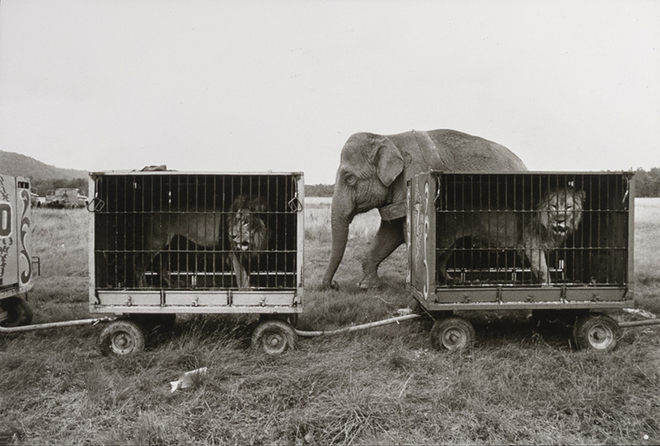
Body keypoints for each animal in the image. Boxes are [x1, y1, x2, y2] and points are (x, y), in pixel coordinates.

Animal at [134, 195, 269, 289]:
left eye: (246, 222)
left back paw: (173, 284)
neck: (255, 237)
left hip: (170, 245)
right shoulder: (234, 253)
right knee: (139, 265)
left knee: (160, 267)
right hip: (155, 243)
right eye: (236, 220)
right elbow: (242, 277)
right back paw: (144, 287)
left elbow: (246, 276)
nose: (232, 235)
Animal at [321, 129, 527, 290]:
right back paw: (448, 279)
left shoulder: (413, 177)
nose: (334, 285)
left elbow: (407, 232)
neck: (388, 137)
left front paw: (410, 286)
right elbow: (390, 232)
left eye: (349, 178)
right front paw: (368, 286)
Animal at [436, 187, 586, 285]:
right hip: (444, 239)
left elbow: (537, 268)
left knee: (441, 262)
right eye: (554, 206)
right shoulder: (533, 245)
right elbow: (543, 268)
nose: (560, 219)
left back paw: (449, 280)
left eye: (568, 207)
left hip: (454, 243)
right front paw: (548, 287)